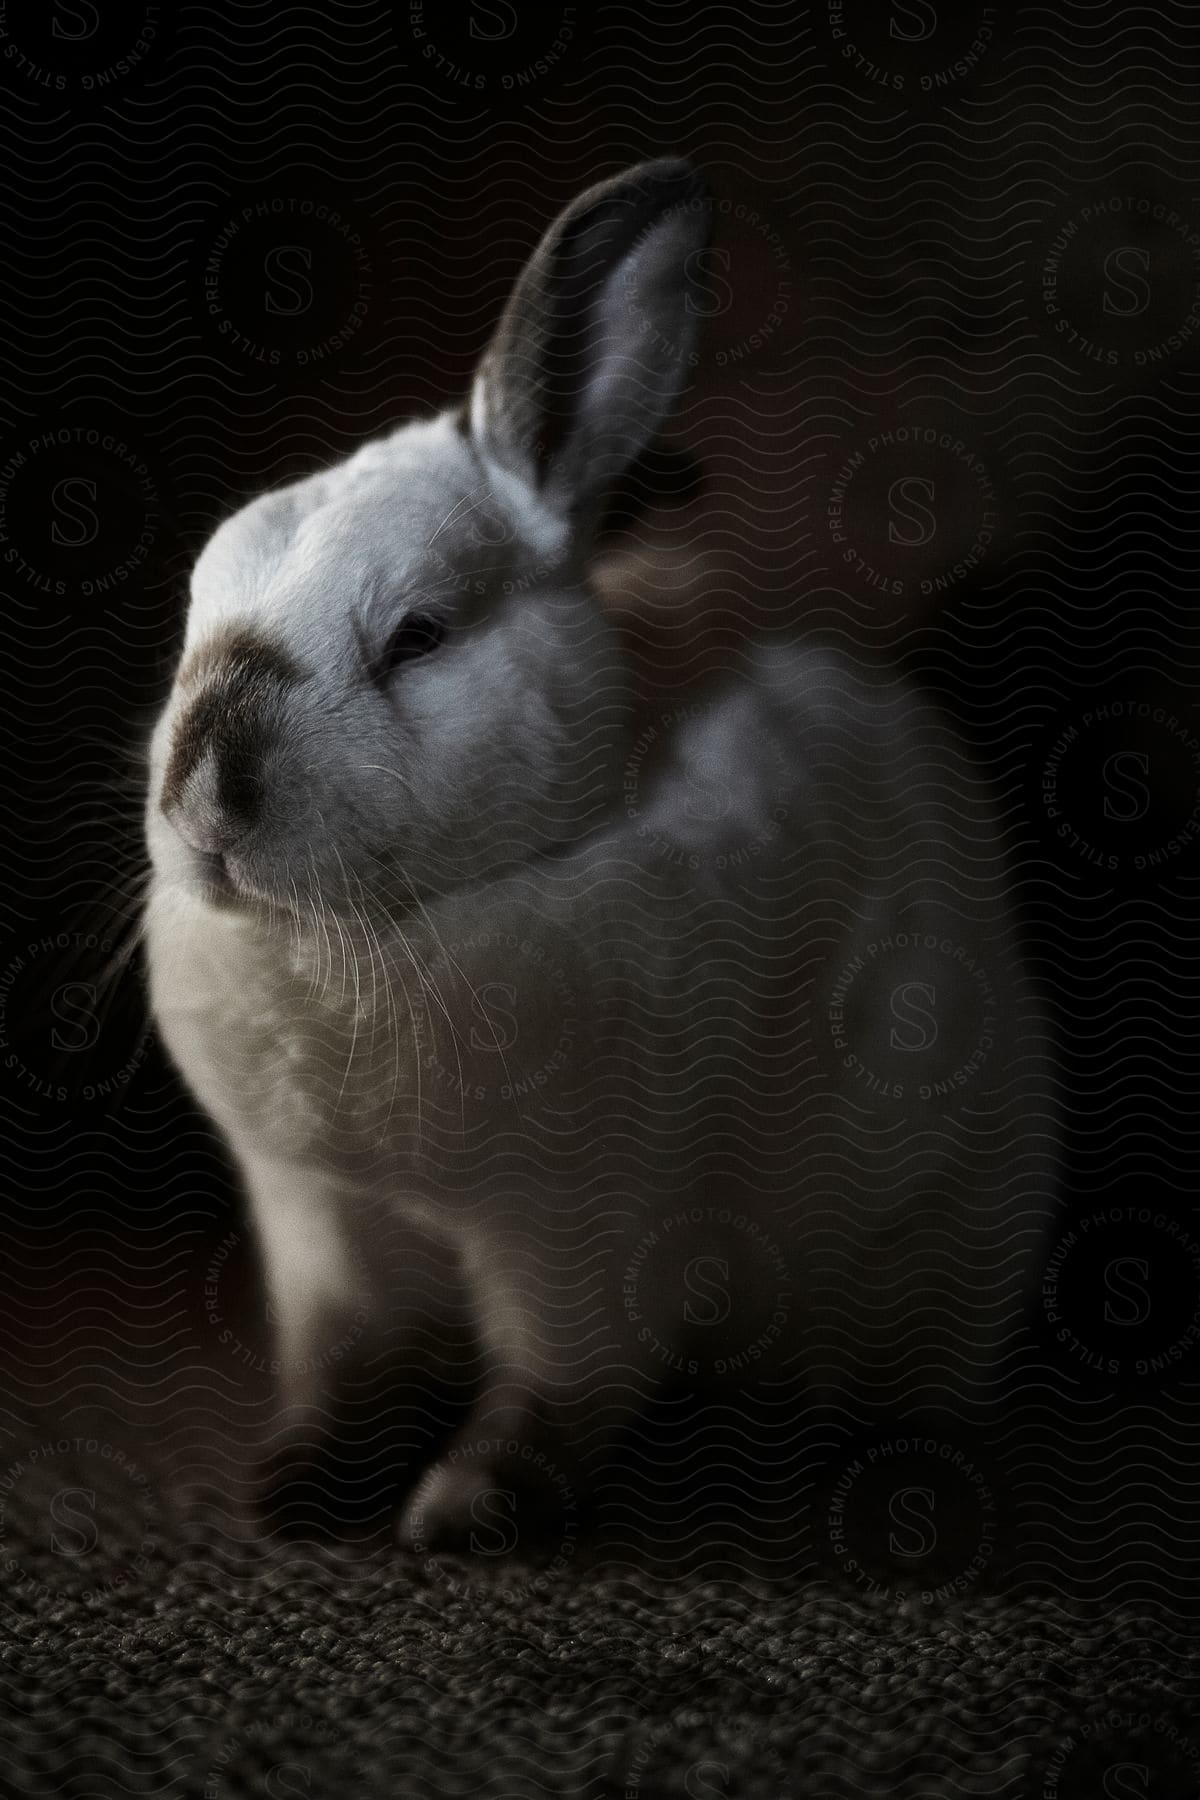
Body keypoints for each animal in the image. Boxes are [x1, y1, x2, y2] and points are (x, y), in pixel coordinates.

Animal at [145, 162, 1057, 1540]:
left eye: (418, 637)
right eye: (198, 605)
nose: (206, 803)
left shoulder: (586, 1232)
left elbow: (558, 1384)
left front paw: (464, 1512)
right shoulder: (322, 1228)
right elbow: (346, 1366)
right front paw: (290, 1491)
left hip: (939, 1235)